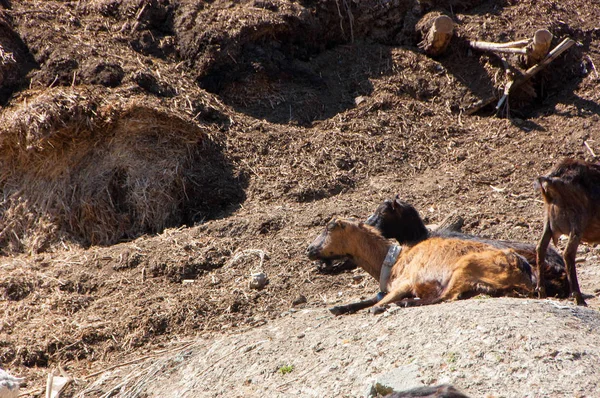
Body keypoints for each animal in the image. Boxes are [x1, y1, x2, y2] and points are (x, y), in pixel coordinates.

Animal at [308, 218, 532, 314]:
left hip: (465, 266)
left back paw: (405, 303)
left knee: (445, 296)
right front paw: (338, 307)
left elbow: (375, 304)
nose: (309, 249)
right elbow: (367, 300)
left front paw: (385, 306)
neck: (392, 260)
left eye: (328, 229)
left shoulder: (406, 282)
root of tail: (522, 267)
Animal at [536, 158, 600, 304]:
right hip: (577, 220)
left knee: (540, 247)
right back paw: (579, 297)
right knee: (568, 253)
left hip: (548, 218)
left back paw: (541, 292)